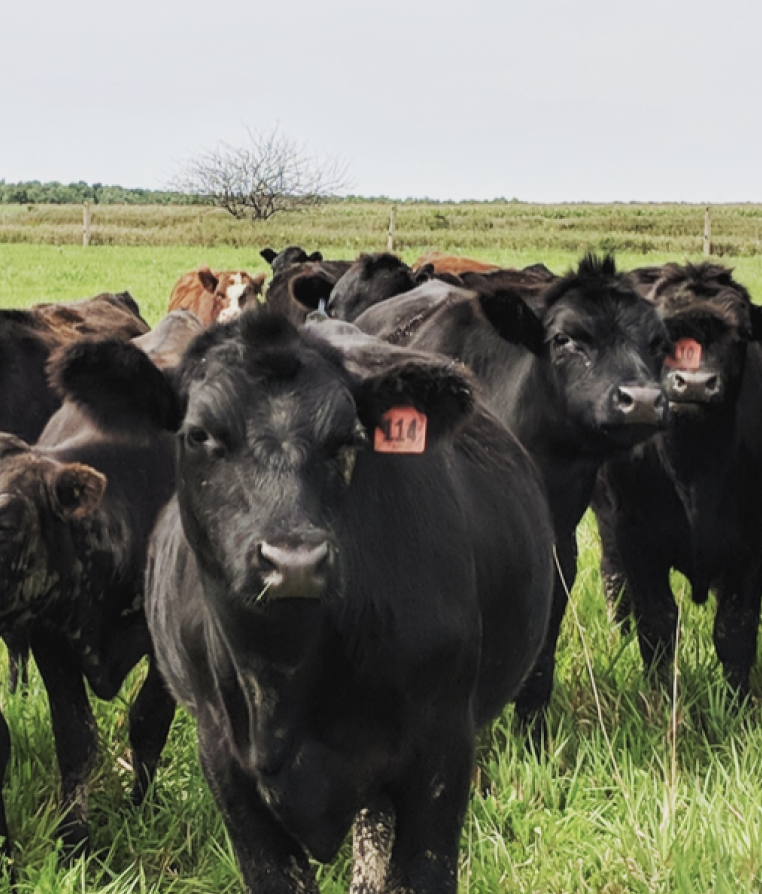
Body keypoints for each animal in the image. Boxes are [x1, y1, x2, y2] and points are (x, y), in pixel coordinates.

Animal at [0, 338, 178, 868]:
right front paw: (73, 842)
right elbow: (75, 740)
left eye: (7, 521)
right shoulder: (51, 638)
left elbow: (148, 722)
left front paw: (142, 805)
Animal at [145, 314, 552, 894]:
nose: (293, 560)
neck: (286, 676)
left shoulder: (442, 749)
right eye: (199, 434)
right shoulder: (223, 761)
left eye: (347, 439)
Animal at [592, 262, 760, 696]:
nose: (695, 383)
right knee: (613, 580)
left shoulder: (751, 548)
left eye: (741, 334)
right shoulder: (635, 537)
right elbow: (657, 623)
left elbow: (735, 630)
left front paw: (738, 701)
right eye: (660, 337)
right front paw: (658, 694)